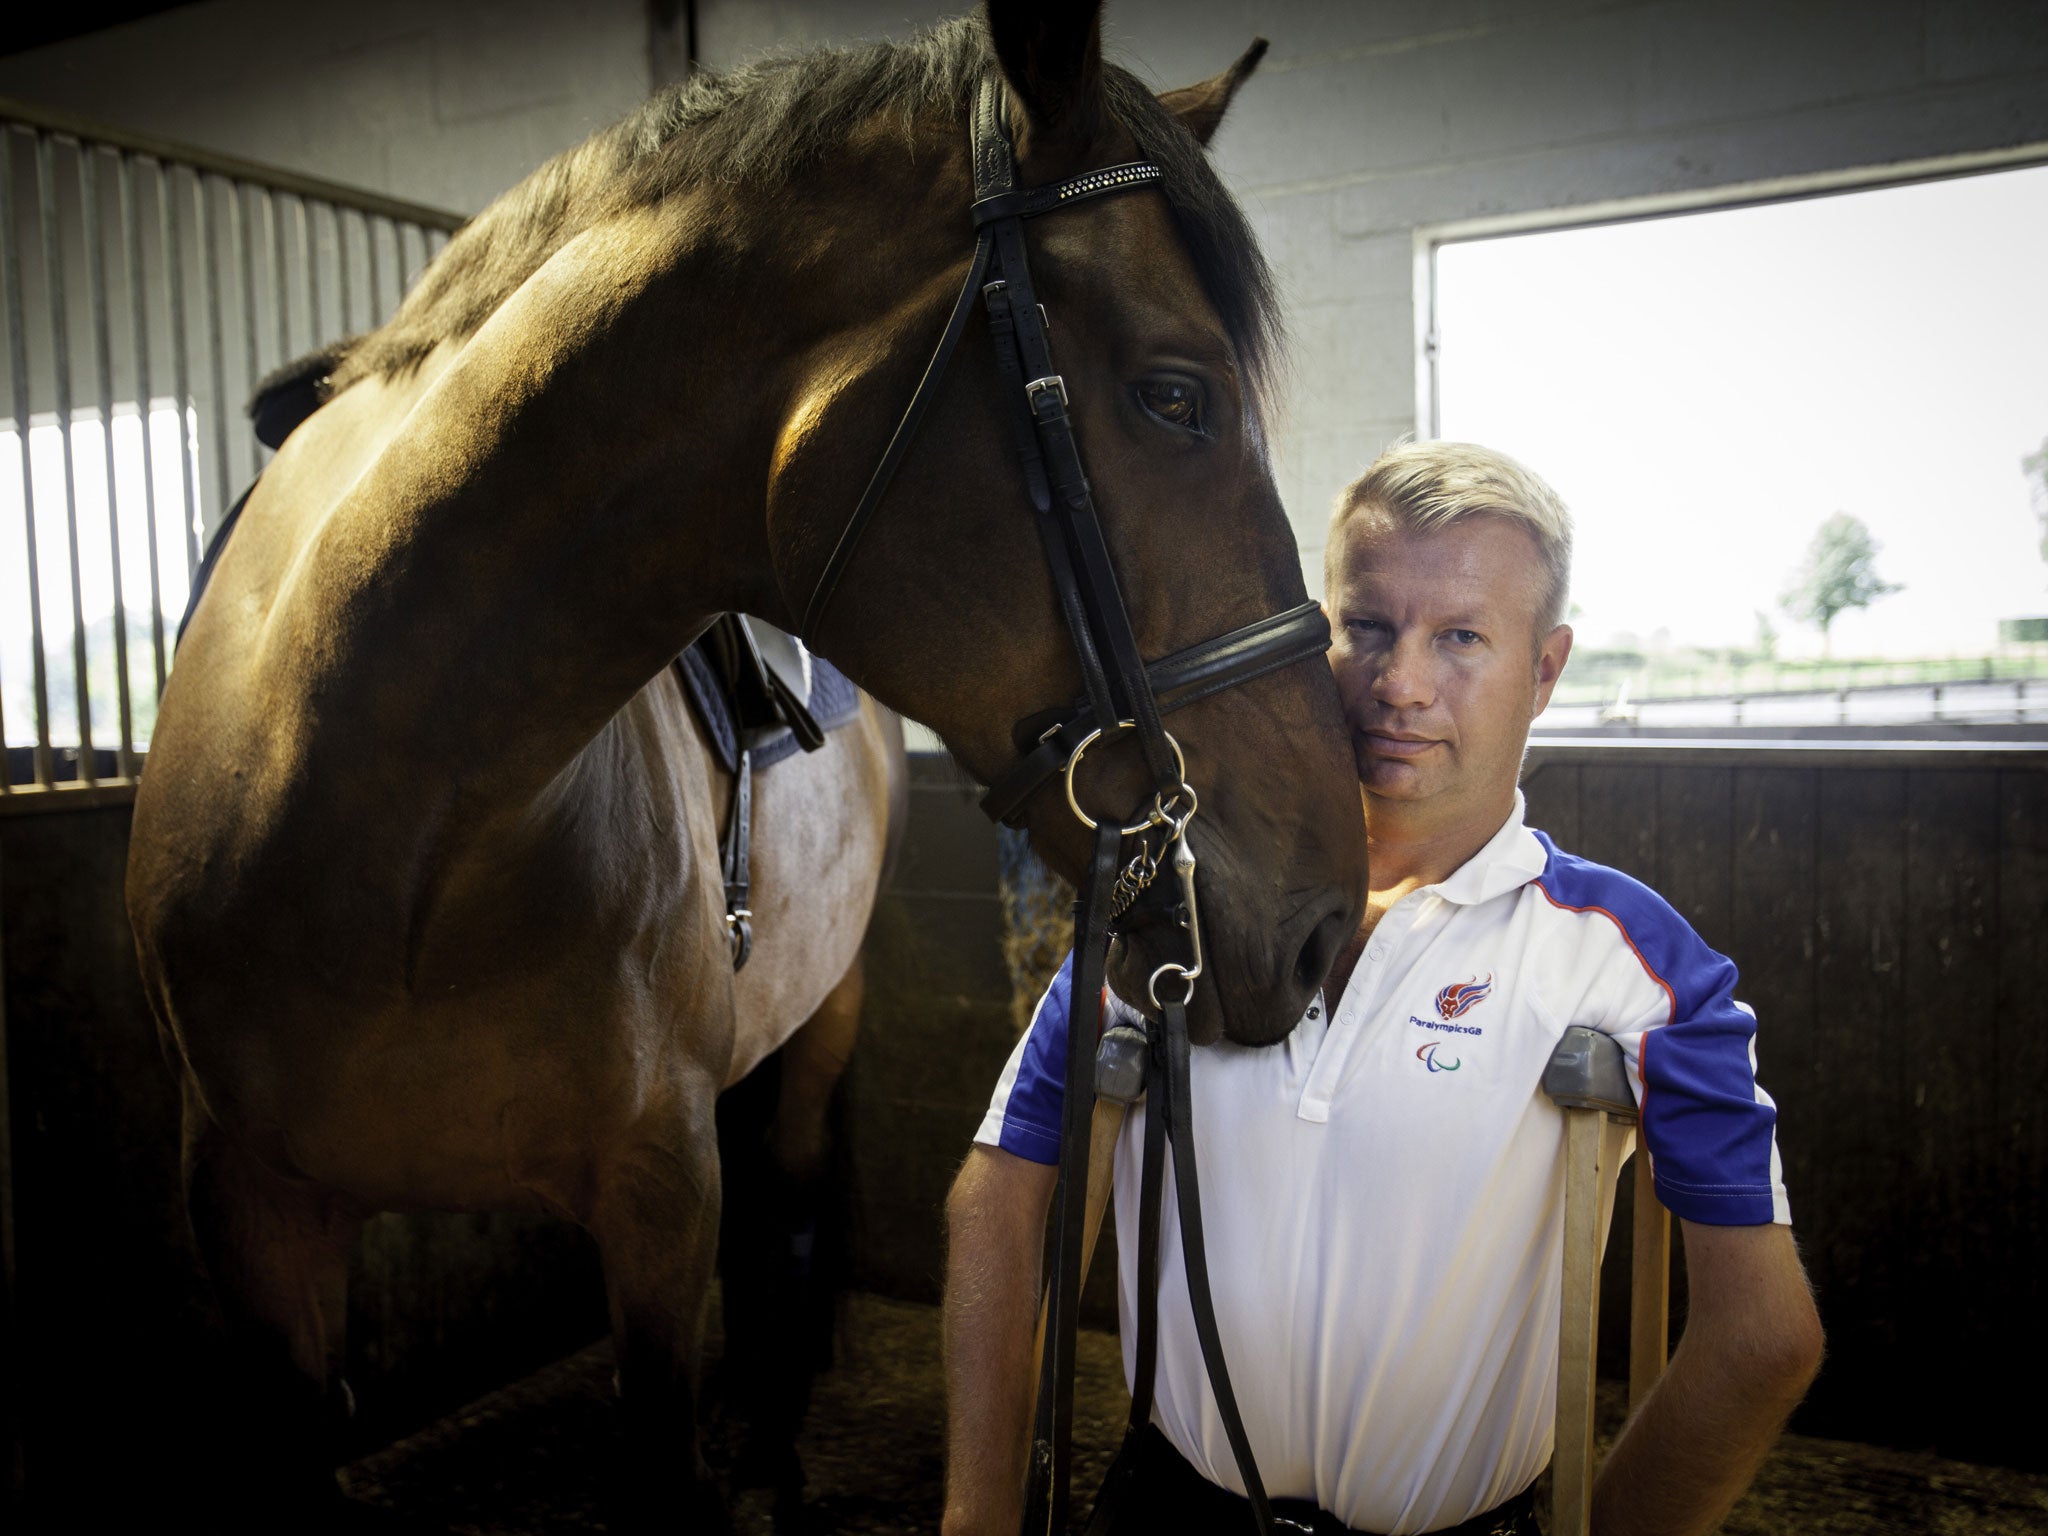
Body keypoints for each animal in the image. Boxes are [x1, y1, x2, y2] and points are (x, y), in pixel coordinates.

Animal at [132, 0, 1376, 1531]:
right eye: (1175, 396)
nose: (1329, 923)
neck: (386, 828)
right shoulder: (253, 1226)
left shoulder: (659, 1198)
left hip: (813, 1022)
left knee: (783, 1225)